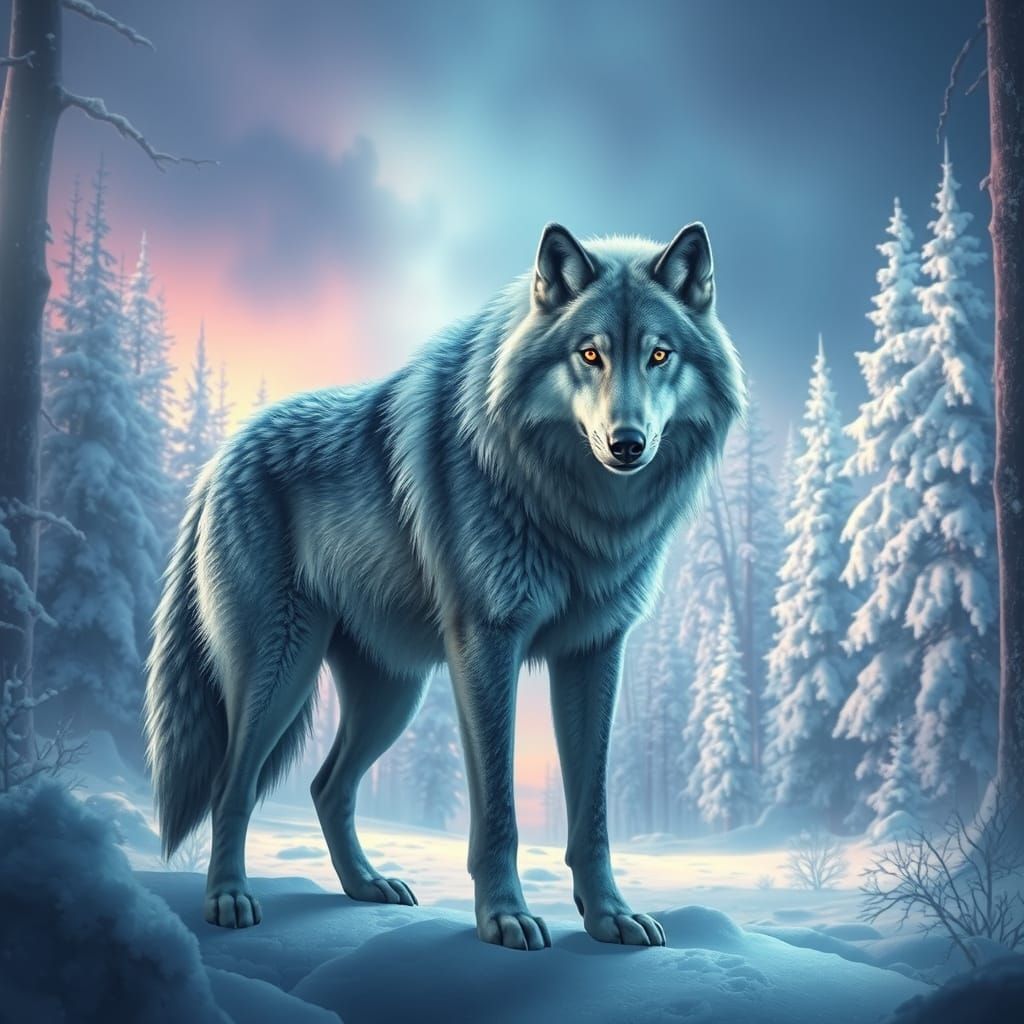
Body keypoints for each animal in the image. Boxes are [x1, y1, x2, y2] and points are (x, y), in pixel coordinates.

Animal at [144, 221, 743, 950]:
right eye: (589, 354)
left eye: (659, 354)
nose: (626, 443)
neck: (573, 514)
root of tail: (218, 461)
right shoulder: (488, 644)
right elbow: (500, 810)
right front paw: (505, 916)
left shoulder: (594, 651)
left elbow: (594, 812)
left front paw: (609, 916)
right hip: (280, 672)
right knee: (233, 787)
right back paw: (229, 899)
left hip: (393, 694)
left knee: (325, 787)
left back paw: (367, 887)